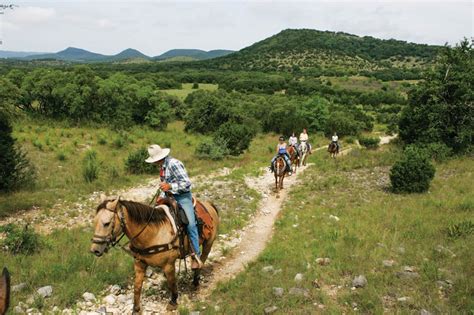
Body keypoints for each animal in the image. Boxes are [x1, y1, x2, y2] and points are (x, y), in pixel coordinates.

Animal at [90, 198, 219, 314]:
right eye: (94, 222)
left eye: (106, 223)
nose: (94, 250)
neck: (152, 234)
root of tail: (209, 204)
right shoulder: (139, 264)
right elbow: (137, 287)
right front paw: (136, 309)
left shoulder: (168, 265)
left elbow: (172, 282)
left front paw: (173, 302)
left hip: (208, 243)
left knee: (202, 260)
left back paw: (196, 282)